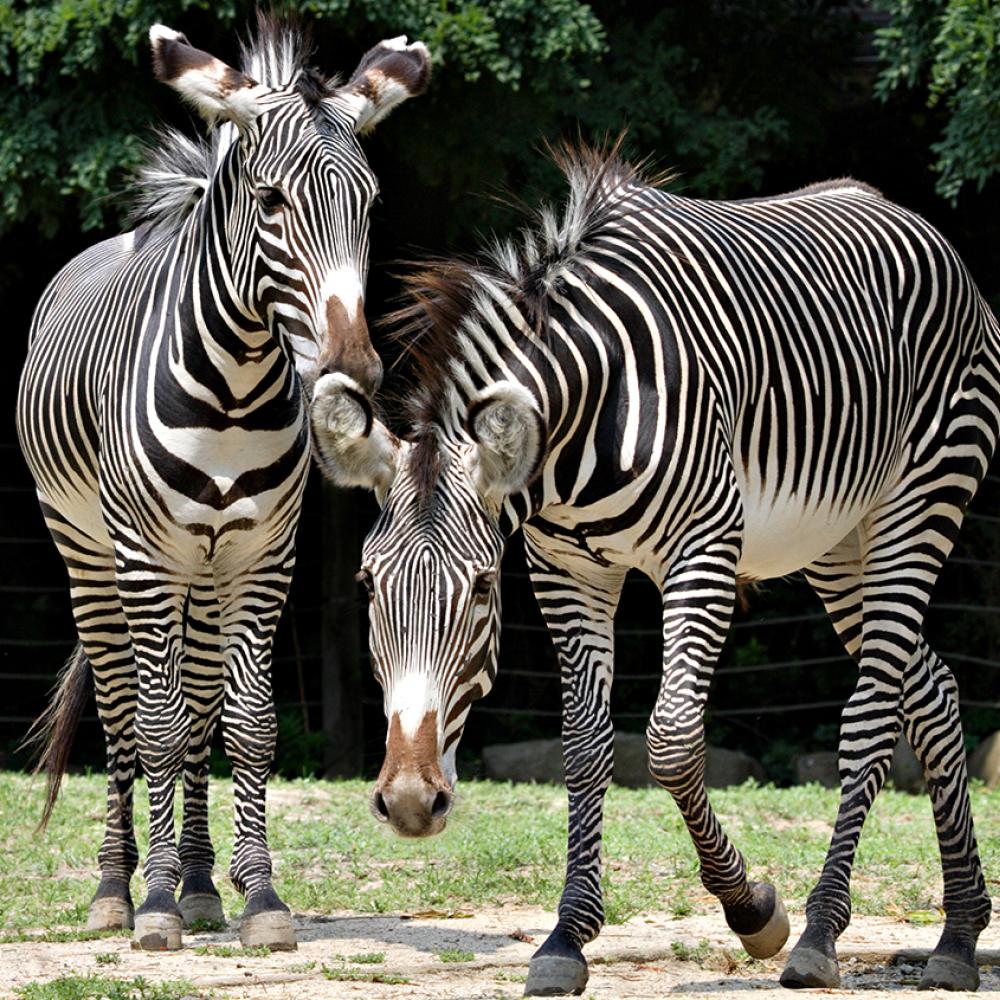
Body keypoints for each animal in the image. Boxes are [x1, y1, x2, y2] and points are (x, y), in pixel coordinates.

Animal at [16, 17, 430, 952]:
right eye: (271, 202)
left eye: (369, 205)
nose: (354, 372)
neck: (234, 390)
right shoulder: (145, 558)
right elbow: (158, 726)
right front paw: (155, 906)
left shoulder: (262, 560)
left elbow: (244, 723)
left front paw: (258, 896)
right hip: (88, 556)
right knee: (125, 709)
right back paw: (118, 889)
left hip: (206, 572)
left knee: (202, 700)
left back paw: (204, 884)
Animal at [312, 143, 1000, 992]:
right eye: (368, 585)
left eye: (481, 587)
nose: (411, 803)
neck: (580, 420)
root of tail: (909, 219)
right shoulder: (565, 568)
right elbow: (585, 747)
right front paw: (565, 940)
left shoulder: (703, 549)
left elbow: (670, 742)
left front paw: (754, 911)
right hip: (840, 544)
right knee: (931, 691)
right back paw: (957, 939)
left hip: (921, 501)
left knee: (872, 715)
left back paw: (820, 935)